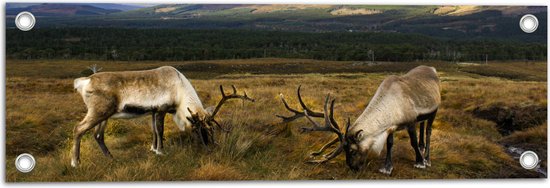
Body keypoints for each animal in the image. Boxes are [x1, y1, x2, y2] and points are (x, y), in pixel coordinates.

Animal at [72, 66, 256, 167]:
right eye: (195, 128)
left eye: (211, 129)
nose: (208, 146)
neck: (179, 90)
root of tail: (84, 81)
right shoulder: (161, 109)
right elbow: (160, 131)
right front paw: (161, 151)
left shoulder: (153, 111)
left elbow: (154, 131)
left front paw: (153, 149)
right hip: (98, 112)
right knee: (78, 129)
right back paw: (75, 163)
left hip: (104, 115)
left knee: (97, 135)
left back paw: (111, 158)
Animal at [278, 65, 442, 175]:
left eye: (352, 150)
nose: (353, 168)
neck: (392, 102)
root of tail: (432, 68)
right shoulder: (391, 127)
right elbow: (390, 144)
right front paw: (387, 167)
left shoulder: (410, 121)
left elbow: (412, 141)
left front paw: (420, 162)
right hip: (424, 116)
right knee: (423, 126)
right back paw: (422, 148)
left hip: (434, 110)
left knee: (428, 131)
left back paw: (426, 158)